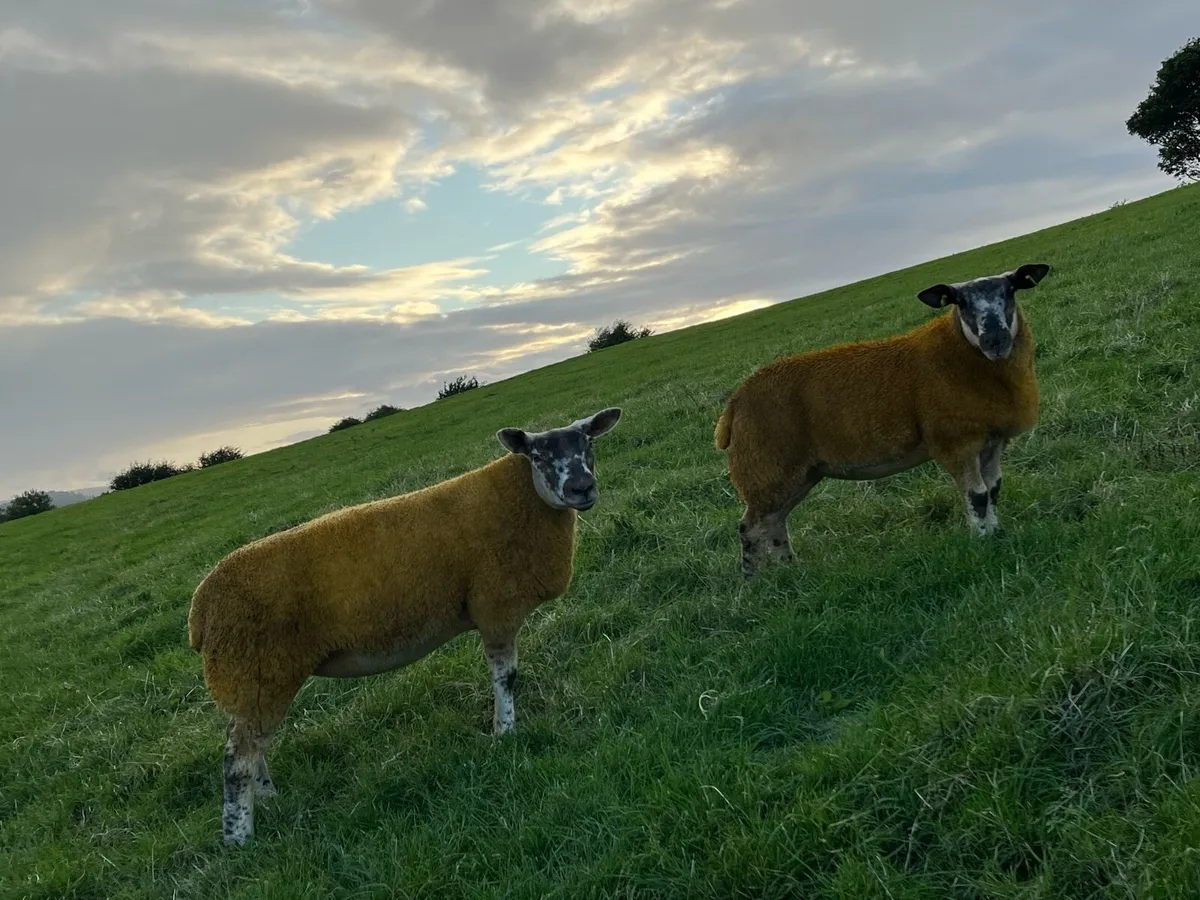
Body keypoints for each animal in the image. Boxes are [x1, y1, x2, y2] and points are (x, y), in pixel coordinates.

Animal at [187, 406, 622, 845]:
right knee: (237, 760)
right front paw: (506, 733)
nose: (581, 488)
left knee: (250, 744)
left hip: (254, 679)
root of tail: (200, 607)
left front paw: (503, 729)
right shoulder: (496, 606)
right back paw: (240, 839)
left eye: (589, 443)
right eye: (537, 456)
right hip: (260, 668)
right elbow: (506, 677)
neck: (520, 501)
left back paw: (269, 800)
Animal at [714, 263, 1050, 577]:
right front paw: (983, 543)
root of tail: (734, 403)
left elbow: (993, 490)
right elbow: (977, 496)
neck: (958, 353)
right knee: (750, 527)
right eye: (960, 302)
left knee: (774, 522)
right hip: (766, 468)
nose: (995, 339)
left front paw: (997, 535)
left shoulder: (993, 441)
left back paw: (788, 570)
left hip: (797, 472)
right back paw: (753, 579)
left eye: (1010, 291)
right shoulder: (956, 443)